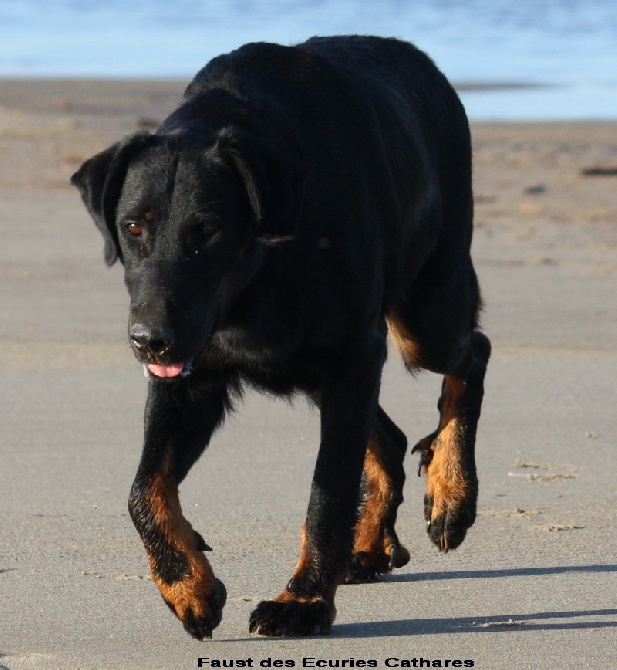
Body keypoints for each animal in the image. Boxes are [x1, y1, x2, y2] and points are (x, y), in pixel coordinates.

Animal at [71, 35, 490, 640]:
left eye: (208, 230)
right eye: (132, 227)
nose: (148, 340)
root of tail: (421, 61)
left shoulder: (352, 356)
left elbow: (327, 491)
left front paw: (305, 600)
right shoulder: (191, 376)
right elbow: (143, 490)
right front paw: (187, 585)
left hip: (423, 311)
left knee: (471, 352)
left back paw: (453, 492)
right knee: (387, 435)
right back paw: (370, 546)